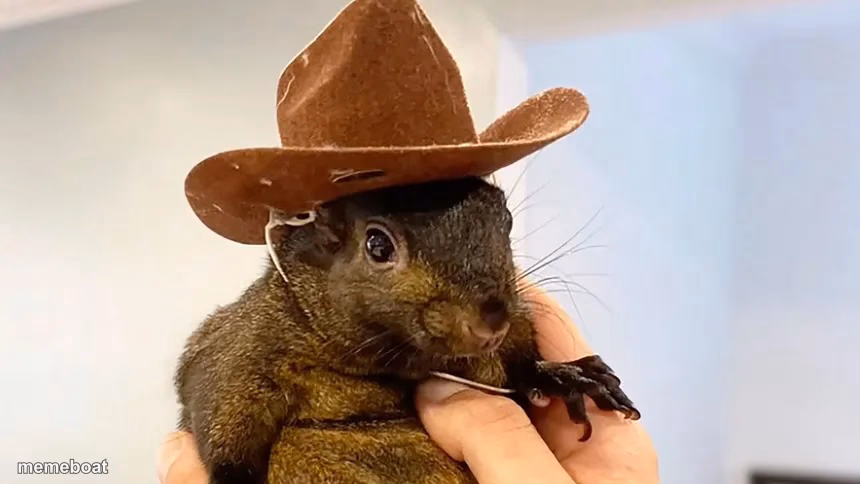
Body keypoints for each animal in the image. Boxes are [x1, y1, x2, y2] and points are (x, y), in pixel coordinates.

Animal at [174, 176, 640, 484]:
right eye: (377, 245)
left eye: (505, 220)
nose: (493, 320)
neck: (391, 361)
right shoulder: (238, 355)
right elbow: (224, 436)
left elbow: (518, 367)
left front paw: (564, 376)